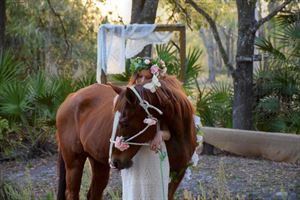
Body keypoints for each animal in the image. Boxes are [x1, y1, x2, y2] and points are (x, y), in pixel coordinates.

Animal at [55, 75, 197, 200]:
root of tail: (71, 96)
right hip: (74, 162)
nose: (114, 161)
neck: (179, 136)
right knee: (72, 193)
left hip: (99, 163)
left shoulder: (177, 175)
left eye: (124, 123)